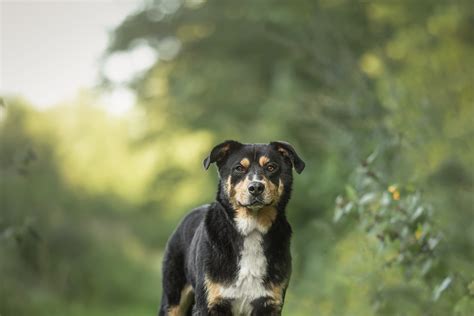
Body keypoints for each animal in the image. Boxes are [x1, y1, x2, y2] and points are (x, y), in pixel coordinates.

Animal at [159, 141, 306, 316]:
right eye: (239, 168)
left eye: (271, 167)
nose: (256, 187)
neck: (252, 229)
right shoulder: (208, 303)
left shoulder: (269, 304)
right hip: (173, 300)